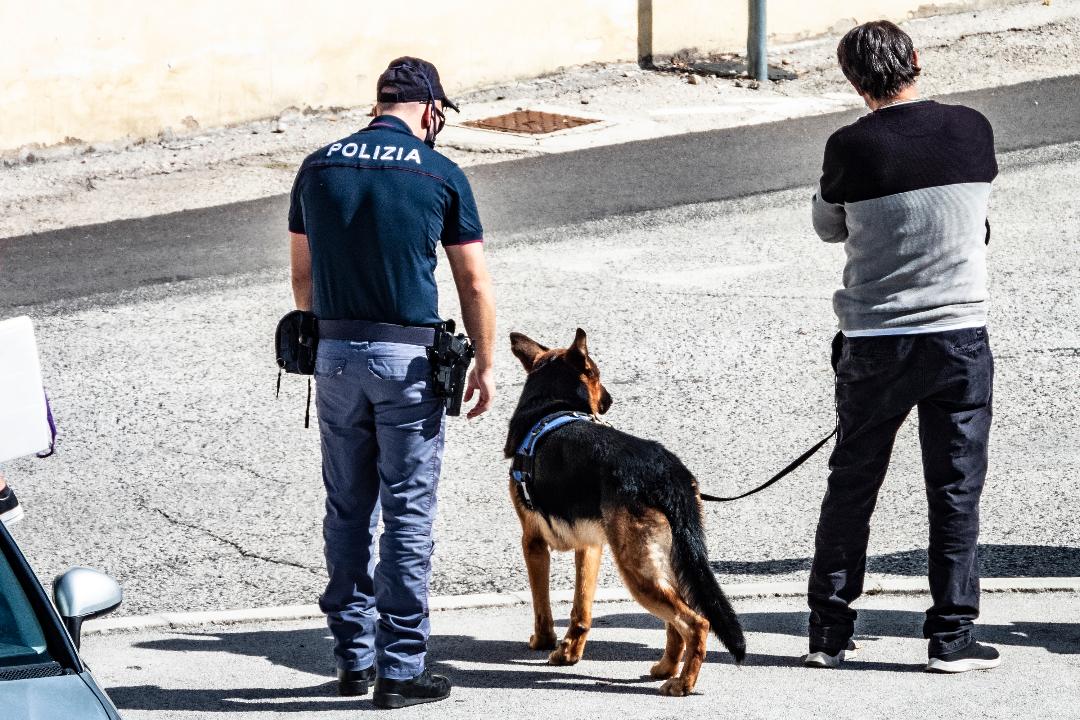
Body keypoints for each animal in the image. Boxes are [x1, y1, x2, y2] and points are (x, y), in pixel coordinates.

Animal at [503, 330, 743, 695]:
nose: (609, 401)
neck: (552, 404)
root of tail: (667, 471)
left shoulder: (532, 544)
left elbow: (542, 606)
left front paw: (544, 642)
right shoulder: (591, 547)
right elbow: (581, 609)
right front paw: (570, 653)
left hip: (637, 570)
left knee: (696, 622)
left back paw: (683, 682)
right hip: (667, 563)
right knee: (677, 622)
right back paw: (666, 668)